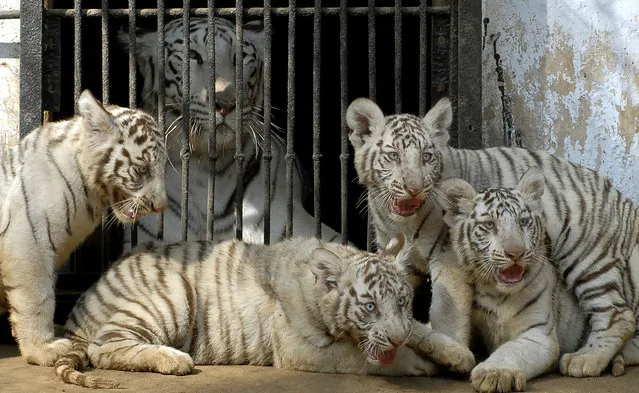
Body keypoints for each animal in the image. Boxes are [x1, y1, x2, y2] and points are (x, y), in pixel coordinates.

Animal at [53, 234, 476, 388]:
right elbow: (365, 359)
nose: (396, 338)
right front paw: (421, 364)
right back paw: (174, 359)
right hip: (171, 293)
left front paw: (458, 354)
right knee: (104, 347)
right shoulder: (301, 349)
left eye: (402, 302)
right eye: (369, 307)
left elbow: (420, 329)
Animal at [348, 95, 639, 376]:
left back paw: (585, 360)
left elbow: (447, 310)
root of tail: (623, 200)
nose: (415, 188)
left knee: (618, 314)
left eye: (427, 157)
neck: (400, 222)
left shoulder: (449, 259)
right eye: (393, 156)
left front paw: (452, 354)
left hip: (587, 259)